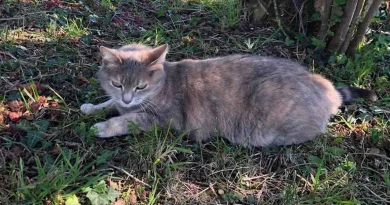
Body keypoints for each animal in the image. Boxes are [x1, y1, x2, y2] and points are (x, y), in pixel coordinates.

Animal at [80, 43, 378, 147]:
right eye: (117, 84)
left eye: (140, 87)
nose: (128, 98)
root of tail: (326, 88)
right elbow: (108, 104)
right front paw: (92, 108)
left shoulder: (163, 120)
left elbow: (127, 121)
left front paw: (103, 126)